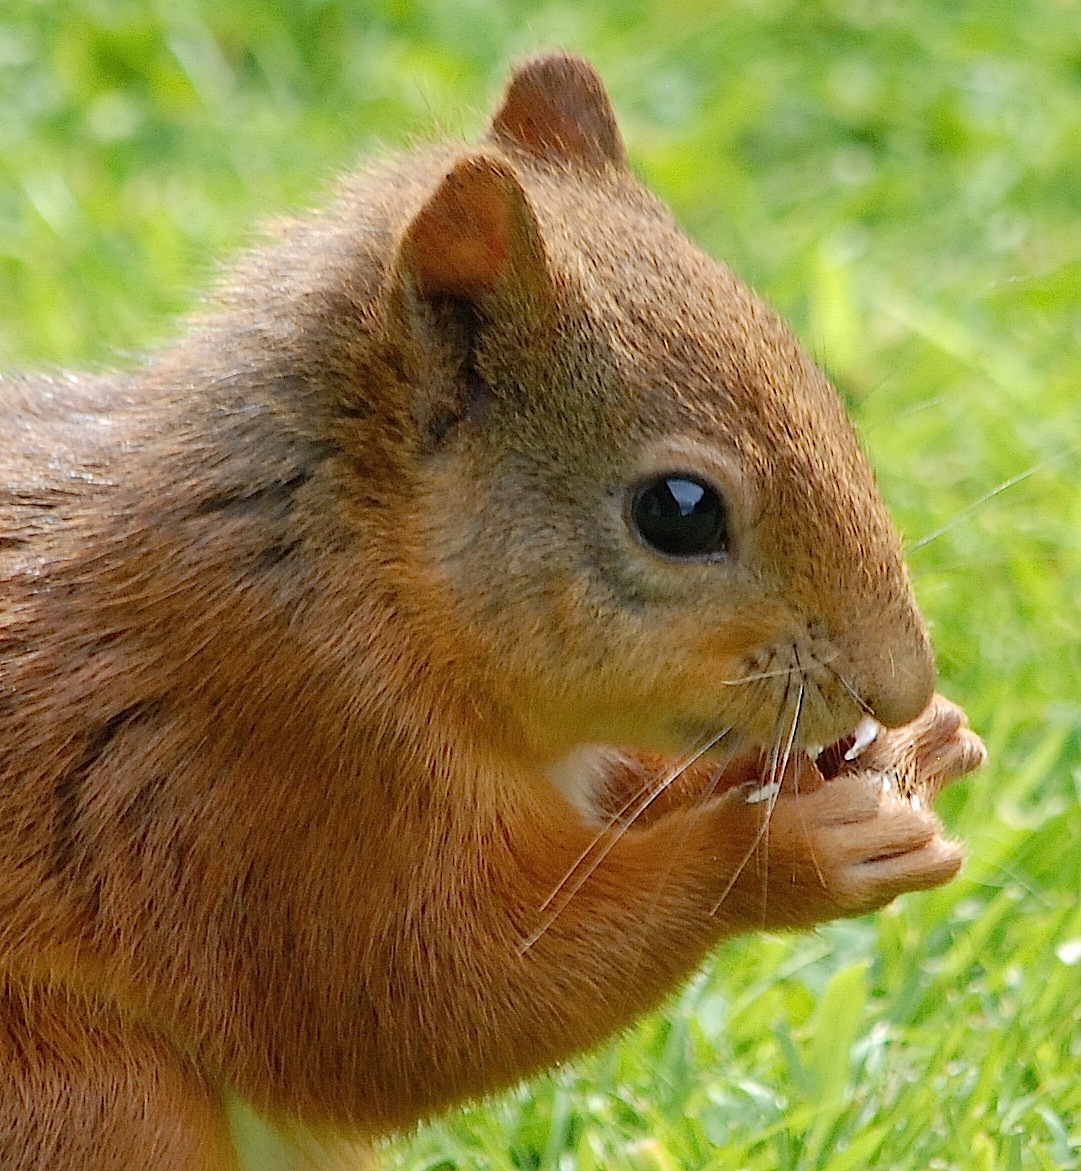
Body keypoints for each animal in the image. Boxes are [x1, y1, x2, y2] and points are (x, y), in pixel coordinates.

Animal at [0, 52, 985, 1170]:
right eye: (677, 510)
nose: (899, 687)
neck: (344, 566)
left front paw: (912, 749)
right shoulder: (273, 780)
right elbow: (414, 1005)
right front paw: (789, 853)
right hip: (99, 1095)